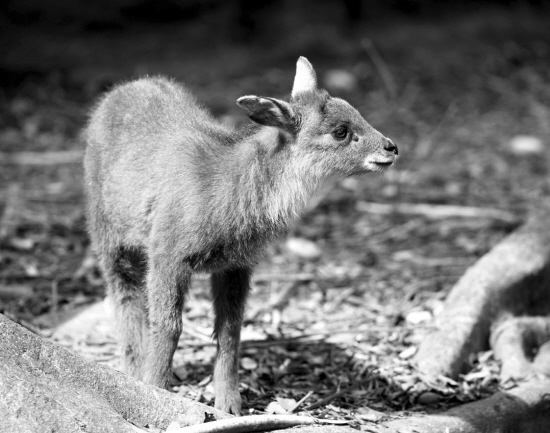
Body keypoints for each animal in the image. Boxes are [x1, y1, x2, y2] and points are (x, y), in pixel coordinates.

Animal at [84, 55, 398, 414]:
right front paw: (156, 391)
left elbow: (230, 330)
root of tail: (122, 88)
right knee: (124, 298)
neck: (227, 189)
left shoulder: (236, 264)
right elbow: (168, 325)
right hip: (108, 237)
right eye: (340, 132)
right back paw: (134, 374)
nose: (392, 147)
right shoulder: (167, 254)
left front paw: (229, 405)